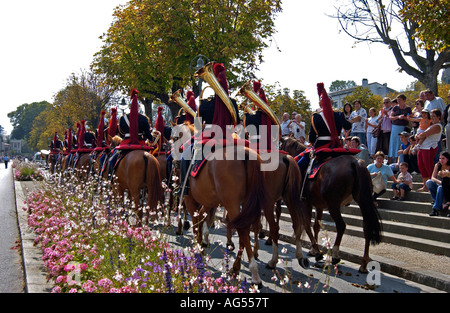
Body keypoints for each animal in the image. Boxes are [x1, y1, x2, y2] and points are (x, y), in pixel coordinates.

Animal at [280, 135, 382, 272]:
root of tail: (355, 162)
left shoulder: (305, 203)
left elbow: (307, 225)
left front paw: (317, 252)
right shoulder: (318, 205)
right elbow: (316, 226)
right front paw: (313, 250)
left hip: (334, 205)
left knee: (341, 226)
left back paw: (335, 255)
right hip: (362, 202)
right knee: (367, 228)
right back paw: (364, 264)